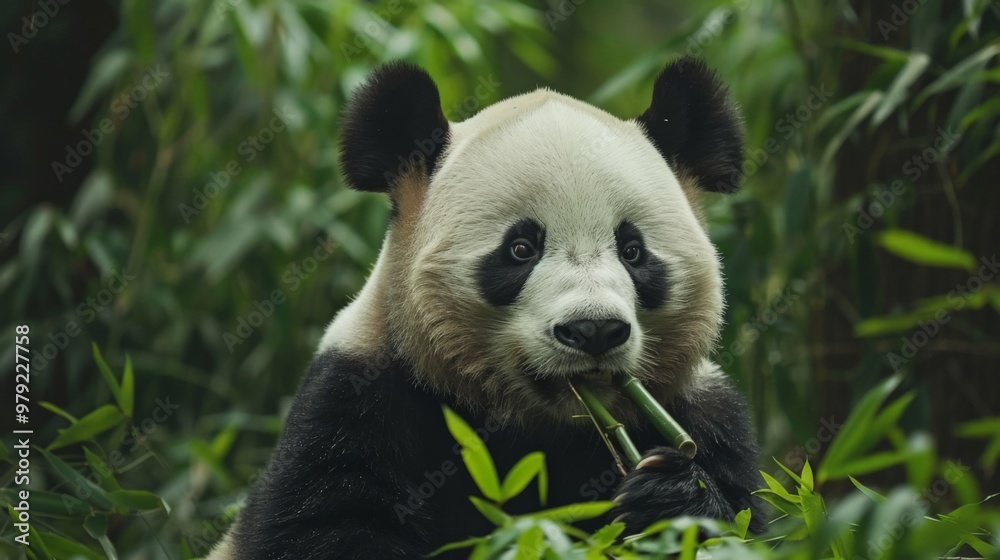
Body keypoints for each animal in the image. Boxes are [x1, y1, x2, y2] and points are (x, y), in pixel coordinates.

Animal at [207, 56, 765, 559]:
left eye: (632, 251)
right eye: (520, 249)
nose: (594, 330)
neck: (544, 428)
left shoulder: (704, 413)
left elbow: (744, 522)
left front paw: (671, 500)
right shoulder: (356, 404)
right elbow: (328, 526)